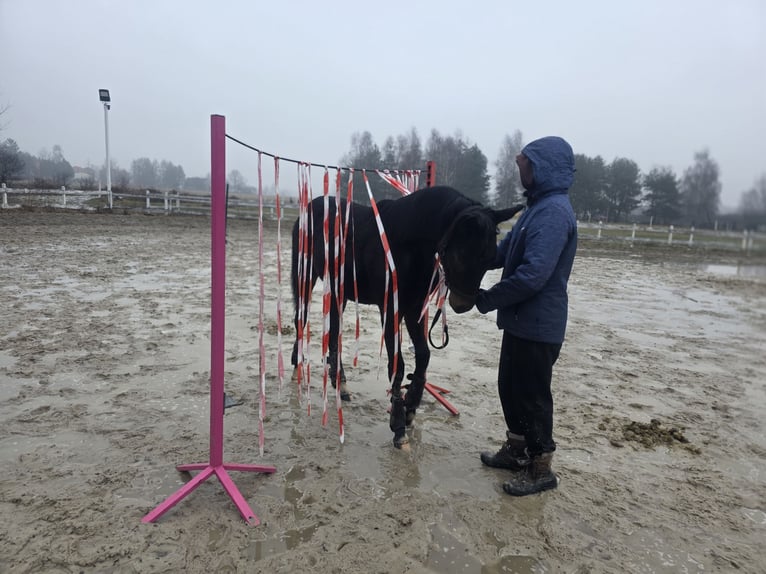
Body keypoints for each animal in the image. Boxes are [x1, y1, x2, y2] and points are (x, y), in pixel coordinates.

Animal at [290, 185, 523, 447]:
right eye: (461, 255)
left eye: (492, 258)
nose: (462, 304)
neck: (407, 245)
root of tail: (308, 208)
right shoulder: (390, 309)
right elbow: (398, 364)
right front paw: (399, 423)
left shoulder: (413, 308)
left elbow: (423, 355)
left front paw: (411, 405)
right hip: (305, 276)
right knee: (301, 317)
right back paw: (298, 364)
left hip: (340, 290)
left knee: (333, 329)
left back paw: (340, 382)